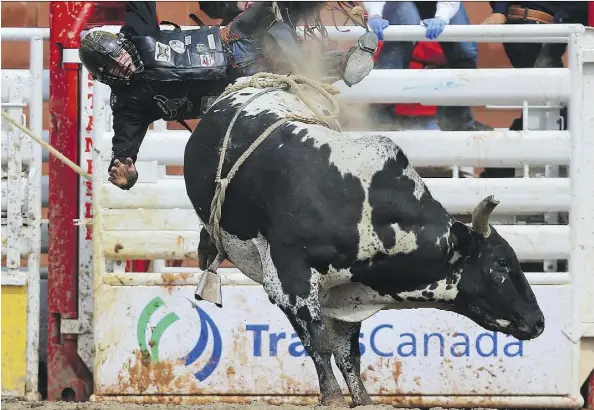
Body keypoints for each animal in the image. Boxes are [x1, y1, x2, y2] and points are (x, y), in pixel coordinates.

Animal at [183, 76, 544, 406]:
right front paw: (332, 398)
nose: (538, 322)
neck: (359, 205)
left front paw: (362, 398)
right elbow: (320, 343)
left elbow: (348, 353)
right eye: (500, 264)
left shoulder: (349, 294)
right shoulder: (289, 282)